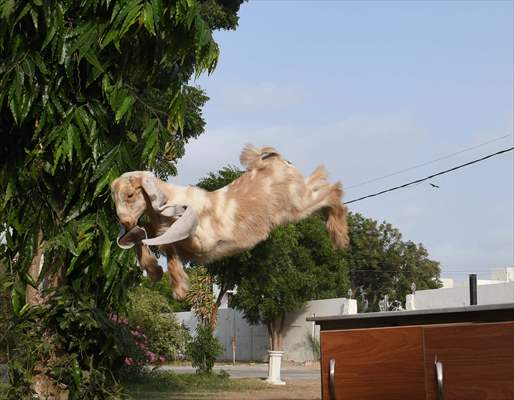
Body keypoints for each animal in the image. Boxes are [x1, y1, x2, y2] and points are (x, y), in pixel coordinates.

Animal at [109, 145, 346, 298]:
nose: (125, 222)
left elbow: (167, 242)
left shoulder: (203, 240)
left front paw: (175, 285)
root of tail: (277, 160)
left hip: (295, 205)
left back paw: (340, 236)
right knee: (319, 184)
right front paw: (162, 276)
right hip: (298, 200)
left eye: (130, 195)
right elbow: (151, 239)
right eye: (114, 197)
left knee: (332, 191)